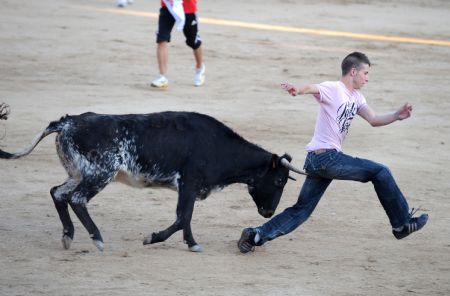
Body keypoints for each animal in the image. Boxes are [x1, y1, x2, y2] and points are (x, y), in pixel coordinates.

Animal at [0, 111, 304, 252]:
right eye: (279, 181)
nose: (268, 212)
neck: (218, 146)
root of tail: (68, 122)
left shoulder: (188, 188)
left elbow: (185, 217)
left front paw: (190, 243)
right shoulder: (189, 184)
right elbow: (183, 217)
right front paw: (155, 238)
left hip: (77, 173)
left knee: (58, 193)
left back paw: (68, 236)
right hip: (100, 174)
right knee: (76, 199)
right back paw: (97, 239)